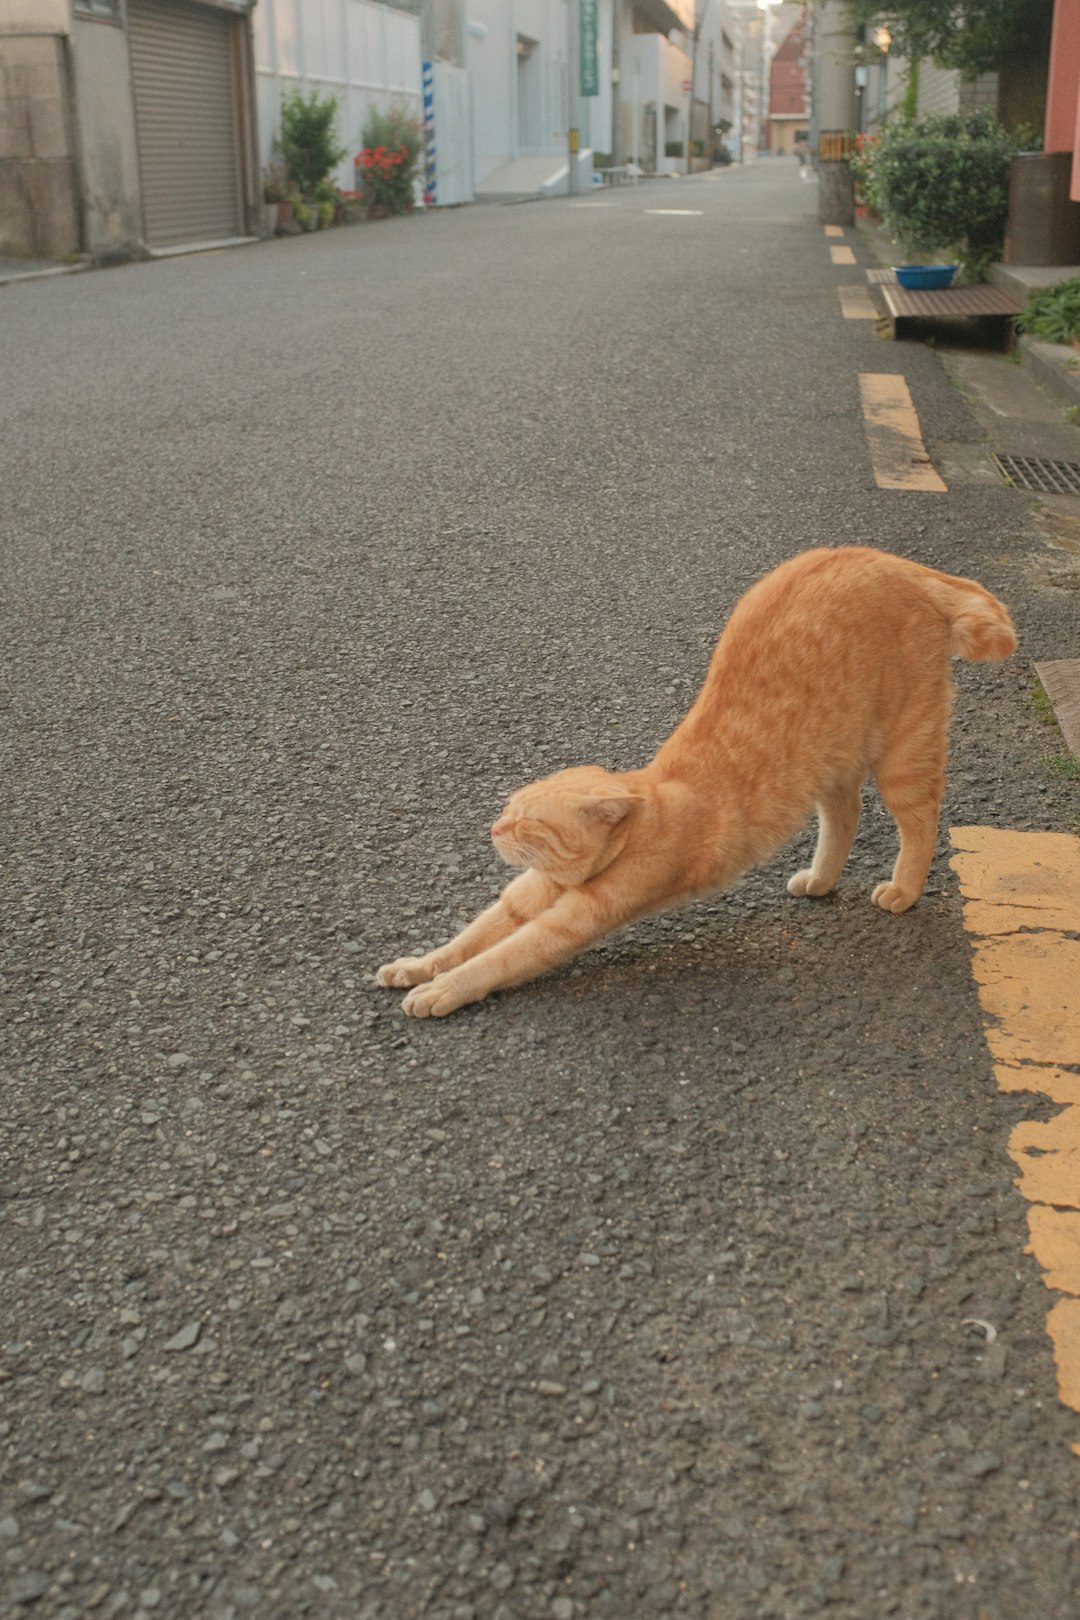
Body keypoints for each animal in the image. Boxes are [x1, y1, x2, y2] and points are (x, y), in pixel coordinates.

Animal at [378, 550, 1016, 1017]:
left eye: (529, 822)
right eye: (508, 807)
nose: (494, 828)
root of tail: (899, 562)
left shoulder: (574, 919)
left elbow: (500, 958)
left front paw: (442, 991)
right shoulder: (525, 897)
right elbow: (468, 940)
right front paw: (417, 966)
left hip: (904, 751)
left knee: (922, 819)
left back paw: (903, 890)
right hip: (830, 755)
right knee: (846, 812)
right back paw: (820, 879)